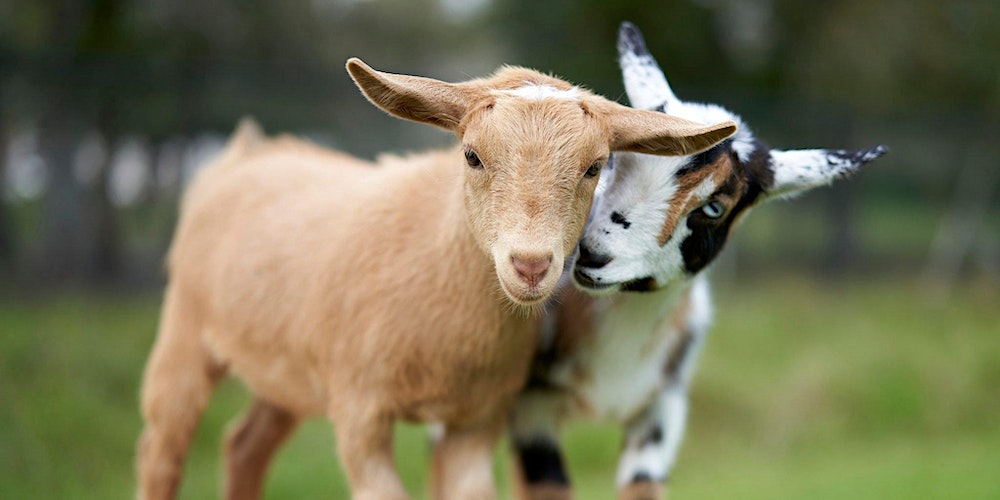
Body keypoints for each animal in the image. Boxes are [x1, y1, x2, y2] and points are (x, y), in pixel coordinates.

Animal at [135, 57, 737, 500]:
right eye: (471, 155)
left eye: (594, 167)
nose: (530, 265)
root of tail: (245, 152)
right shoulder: (360, 413)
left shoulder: (478, 420)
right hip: (183, 329)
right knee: (162, 450)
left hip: (288, 370)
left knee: (244, 446)